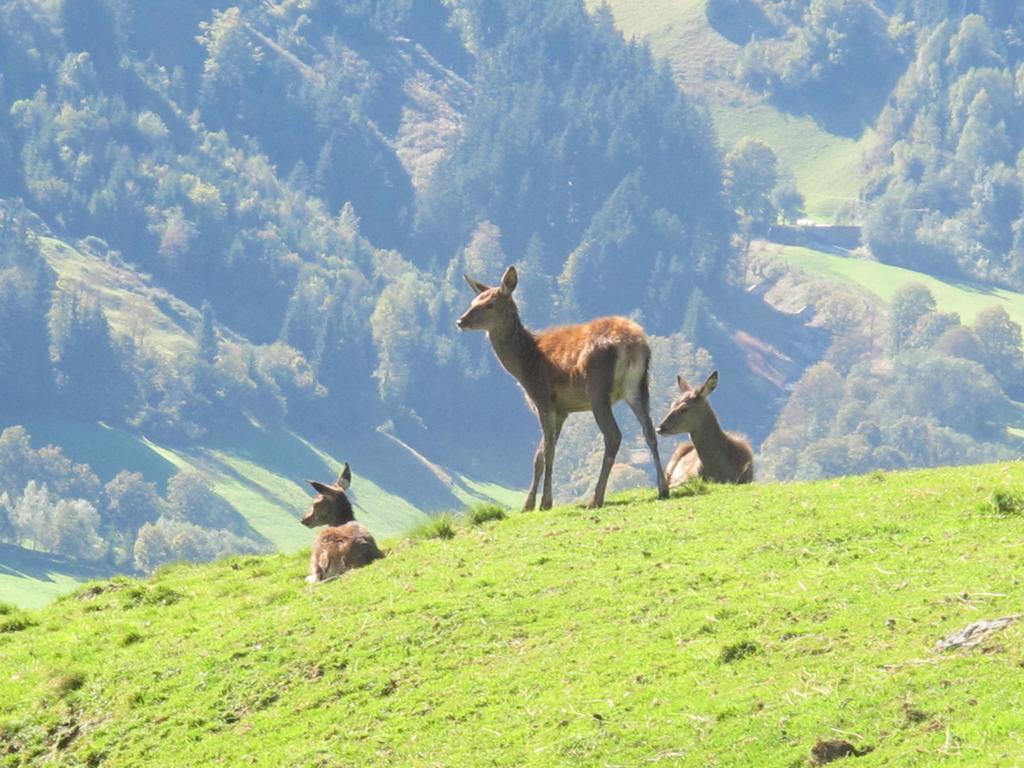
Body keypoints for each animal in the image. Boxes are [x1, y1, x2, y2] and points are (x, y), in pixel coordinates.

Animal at [458, 264, 671, 512]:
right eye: (473, 301)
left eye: (489, 304)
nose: (460, 321)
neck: (524, 363)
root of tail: (632, 345)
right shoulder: (562, 411)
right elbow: (540, 455)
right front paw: (528, 505)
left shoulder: (543, 398)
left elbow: (549, 450)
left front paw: (545, 503)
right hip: (638, 387)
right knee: (650, 431)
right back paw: (663, 488)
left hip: (597, 389)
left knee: (613, 435)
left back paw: (596, 498)